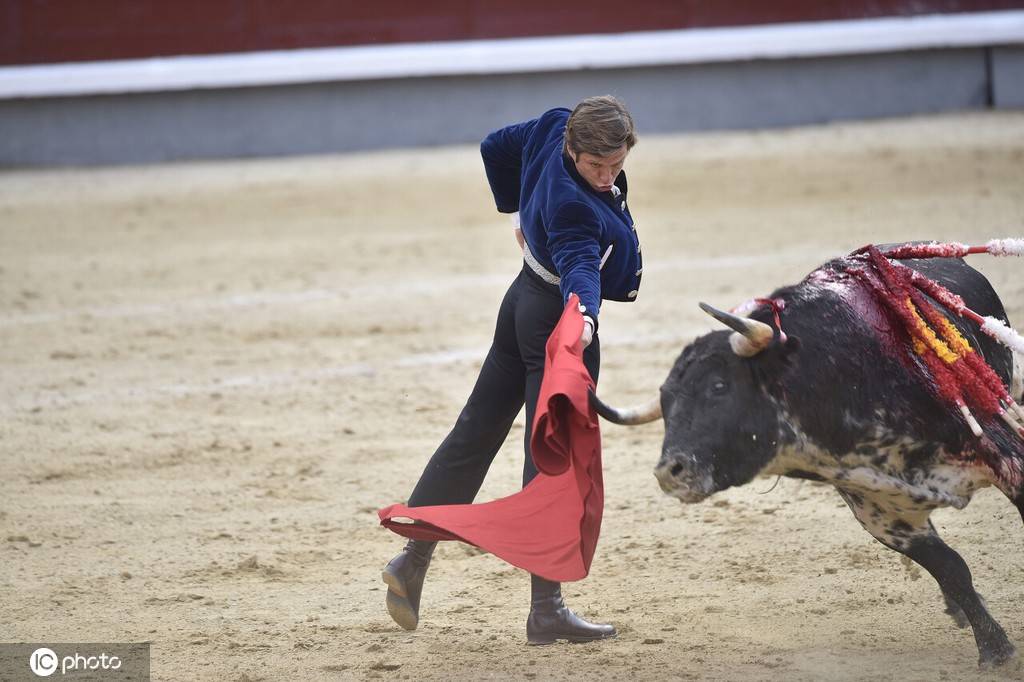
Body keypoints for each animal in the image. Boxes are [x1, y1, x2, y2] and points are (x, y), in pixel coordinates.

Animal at [593, 249, 1024, 663]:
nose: (670, 472)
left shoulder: (1008, 458)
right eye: (666, 402)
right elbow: (952, 570)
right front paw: (994, 649)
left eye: (718, 386)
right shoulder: (885, 516)